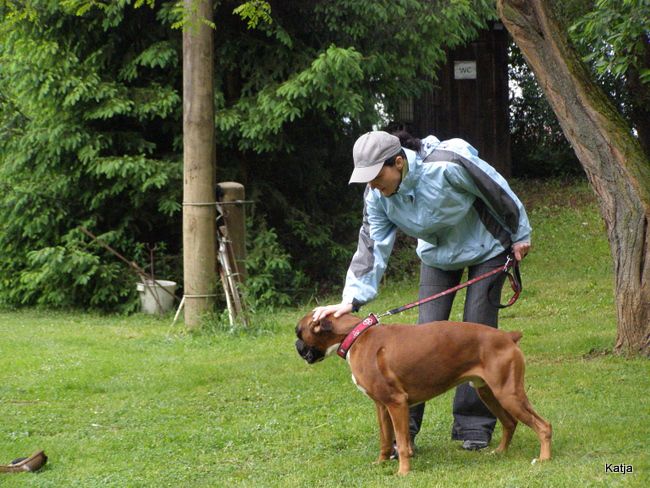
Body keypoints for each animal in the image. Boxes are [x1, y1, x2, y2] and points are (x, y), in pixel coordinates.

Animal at [296, 312, 548, 476]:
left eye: (299, 332)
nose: (296, 346)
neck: (355, 336)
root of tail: (507, 336)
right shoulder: (382, 406)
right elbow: (386, 439)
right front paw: (381, 463)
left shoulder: (397, 403)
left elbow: (402, 442)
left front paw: (403, 472)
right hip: (489, 393)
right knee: (510, 422)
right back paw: (500, 452)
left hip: (509, 394)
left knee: (543, 426)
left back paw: (544, 458)